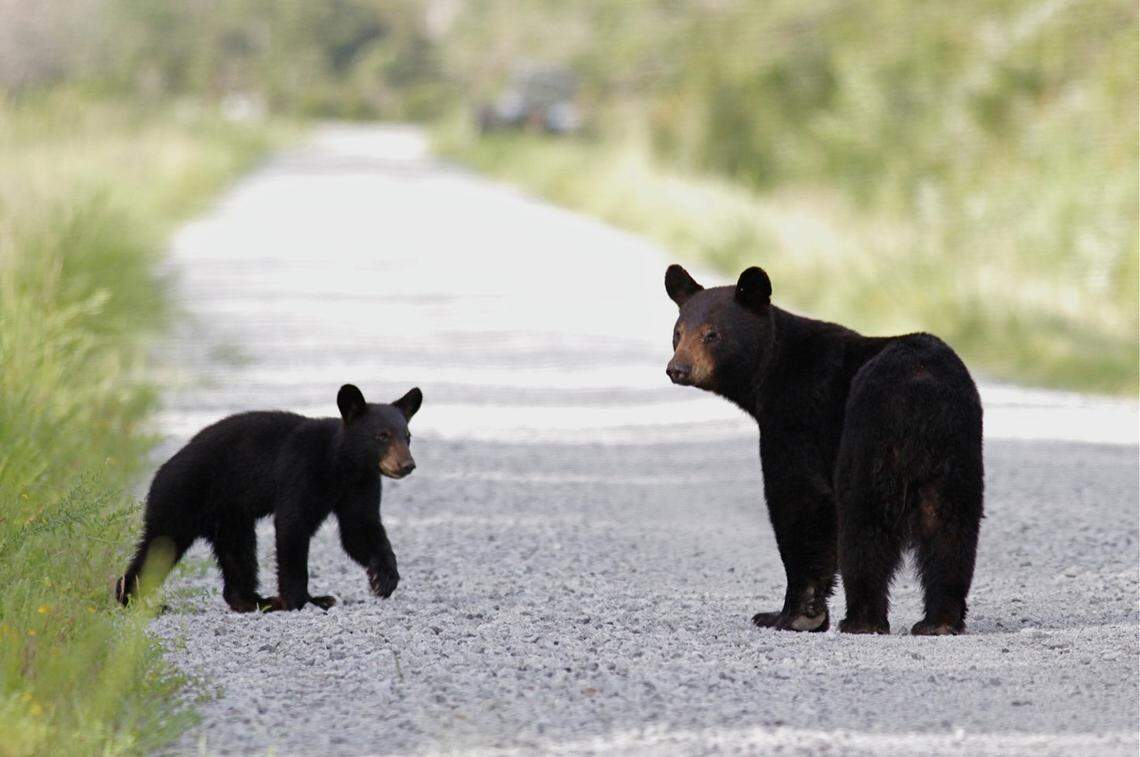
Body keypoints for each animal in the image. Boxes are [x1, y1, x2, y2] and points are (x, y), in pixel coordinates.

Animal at [115, 384, 422, 612]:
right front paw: (302, 600)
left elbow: (359, 528)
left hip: (230, 517)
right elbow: (292, 524)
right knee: (159, 546)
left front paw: (385, 578)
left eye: (408, 436)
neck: (342, 465)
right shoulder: (302, 471)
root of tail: (162, 470)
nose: (407, 465)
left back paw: (255, 601)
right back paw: (133, 600)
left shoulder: (361, 484)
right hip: (181, 496)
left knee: (239, 554)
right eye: (382, 435)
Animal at [664, 264, 983, 635]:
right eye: (678, 332)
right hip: (956, 451)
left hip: (867, 436)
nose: (677, 369)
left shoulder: (797, 418)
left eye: (712, 335)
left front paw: (791, 615)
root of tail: (920, 391)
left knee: (863, 523)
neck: (771, 368)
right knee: (950, 528)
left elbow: (800, 500)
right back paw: (939, 622)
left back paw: (862, 620)